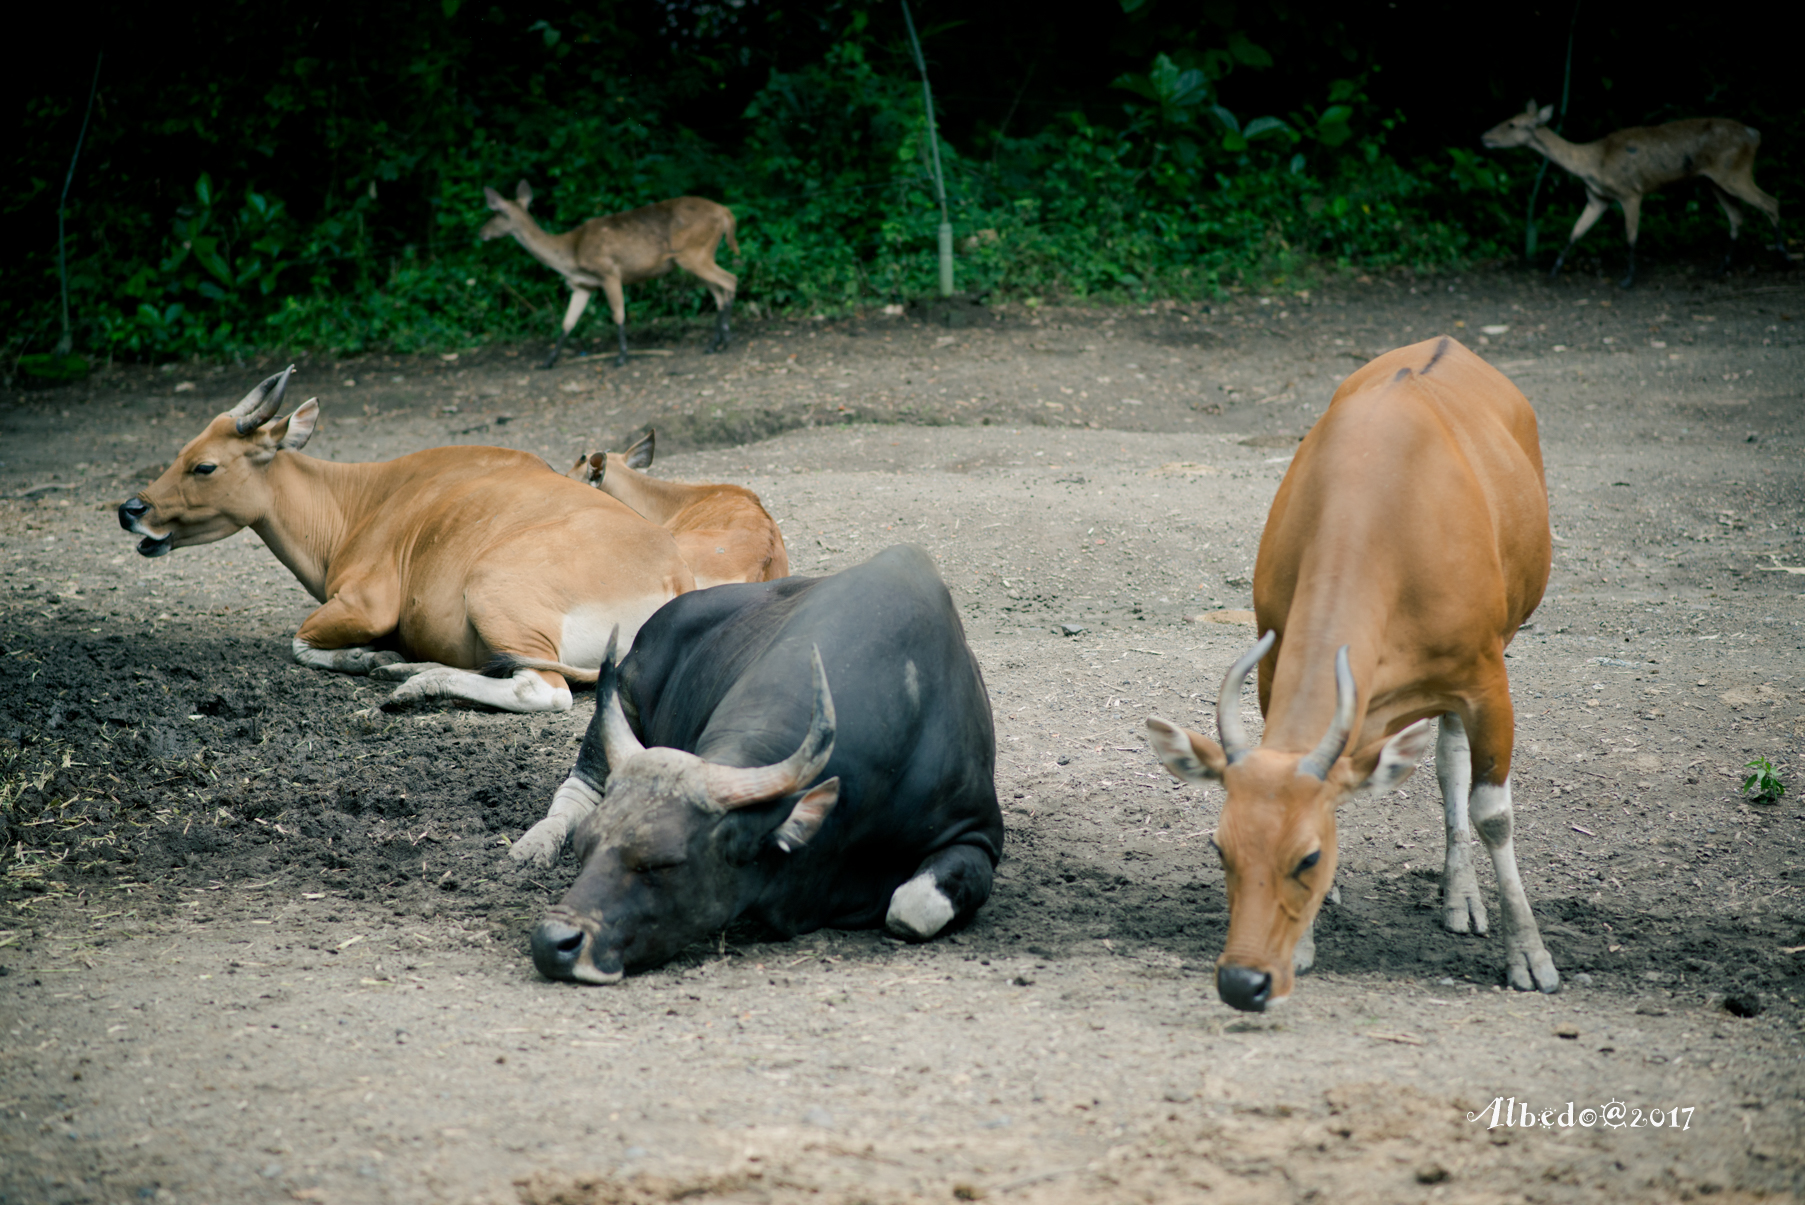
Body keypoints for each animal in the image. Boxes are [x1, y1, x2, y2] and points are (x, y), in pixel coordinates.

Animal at [114, 362, 689, 710]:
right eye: (182, 452)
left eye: (204, 466)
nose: (130, 510)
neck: (357, 503)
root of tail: (673, 577)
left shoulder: (368, 605)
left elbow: (298, 643)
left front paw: (366, 658)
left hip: (493, 590)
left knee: (544, 690)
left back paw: (416, 682)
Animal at [480, 182, 740, 367]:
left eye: (497, 213)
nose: (482, 232)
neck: (570, 254)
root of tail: (726, 212)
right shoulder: (582, 286)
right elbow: (567, 322)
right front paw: (547, 361)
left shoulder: (609, 272)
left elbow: (618, 314)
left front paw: (622, 357)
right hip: (693, 259)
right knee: (720, 292)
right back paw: (715, 343)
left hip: (694, 254)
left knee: (730, 280)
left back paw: (725, 340)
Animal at [512, 544, 1003, 981]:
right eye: (586, 848)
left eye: (665, 863)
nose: (553, 942)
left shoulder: (978, 835)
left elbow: (910, 908)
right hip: (620, 699)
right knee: (580, 786)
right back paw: (533, 845)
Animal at [1147, 337, 1559, 1010]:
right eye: (1220, 848)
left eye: (1308, 858)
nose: (1241, 982)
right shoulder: (1274, 663)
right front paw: (1307, 942)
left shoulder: (1485, 681)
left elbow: (1493, 813)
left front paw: (1528, 954)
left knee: (1451, 762)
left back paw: (1462, 896)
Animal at [1480, 100, 1790, 286]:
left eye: (1512, 124)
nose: (1484, 137)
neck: (1592, 163)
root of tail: (1755, 135)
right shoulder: (1598, 198)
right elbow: (1575, 232)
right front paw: (1553, 271)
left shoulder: (1630, 191)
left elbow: (1631, 236)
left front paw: (1628, 278)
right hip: (1713, 180)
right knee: (1737, 215)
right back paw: (1722, 267)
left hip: (1734, 171)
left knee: (1771, 202)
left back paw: (1783, 256)